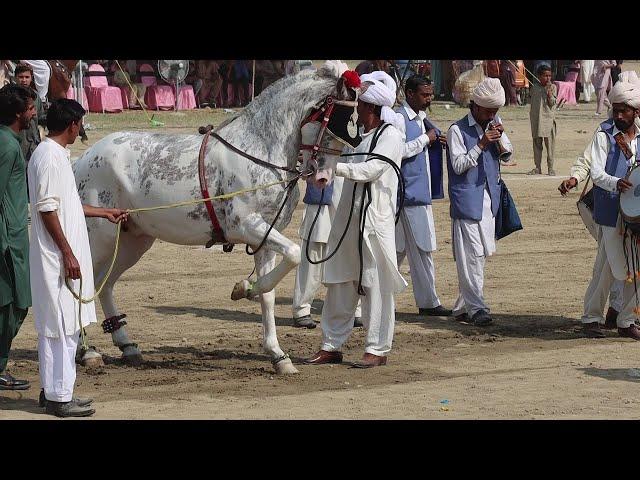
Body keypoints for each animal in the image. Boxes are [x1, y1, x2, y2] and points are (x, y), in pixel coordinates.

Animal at [73, 61, 362, 376]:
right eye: (334, 123)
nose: (323, 178)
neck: (259, 150)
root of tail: (81, 160)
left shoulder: (265, 238)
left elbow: (271, 292)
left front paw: (276, 352)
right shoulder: (247, 226)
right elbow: (296, 252)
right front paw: (244, 289)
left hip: (132, 241)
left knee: (104, 284)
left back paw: (126, 345)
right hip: (98, 236)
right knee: (79, 282)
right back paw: (86, 352)